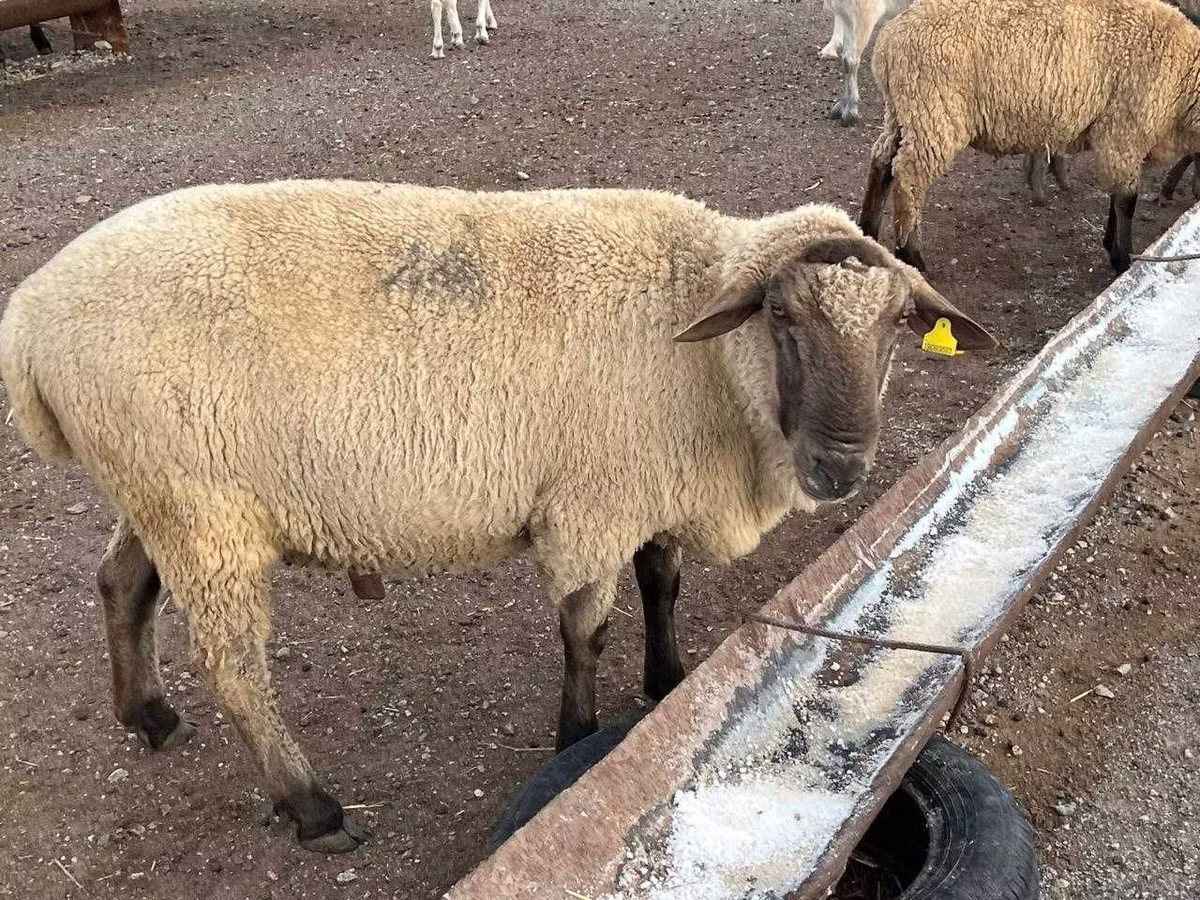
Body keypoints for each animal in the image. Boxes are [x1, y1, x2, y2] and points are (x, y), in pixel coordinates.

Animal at [0, 179, 995, 852]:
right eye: (783, 316)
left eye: (898, 327)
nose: (841, 467)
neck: (699, 349)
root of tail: (31, 314)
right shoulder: (593, 500)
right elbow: (585, 630)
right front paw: (577, 740)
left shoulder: (648, 483)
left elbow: (663, 581)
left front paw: (668, 681)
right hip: (202, 510)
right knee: (235, 667)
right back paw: (314, 808)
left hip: (163, 494)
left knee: (120, 585)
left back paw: (148, 715)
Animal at [858, 0, 1200, 274]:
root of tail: (887, 42)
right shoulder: (1125, 130)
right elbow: (1127, 201)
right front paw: (1122, 260)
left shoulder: (1121, 140)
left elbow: (1117, 197)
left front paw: (1111, 246)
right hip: (933, 111)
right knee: (908, 178)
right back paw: (912, 256)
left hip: (903, 112)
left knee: (882, 163)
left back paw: (868, 233)